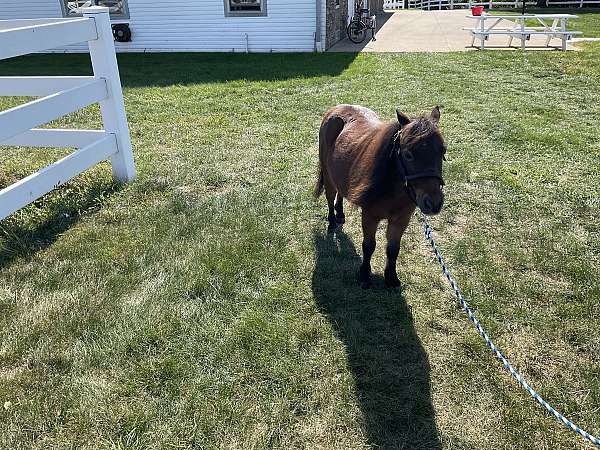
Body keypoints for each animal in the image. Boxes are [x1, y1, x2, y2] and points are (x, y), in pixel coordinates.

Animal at [314, 105, 446, 288]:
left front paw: (391, 277)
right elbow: (369, 246)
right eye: (408, 155)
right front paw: (364, 275)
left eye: (443, 151)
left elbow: (393, 249)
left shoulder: (401, 220)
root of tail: (336, 108)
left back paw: (340, 214)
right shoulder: (370, 216)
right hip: (327, 174)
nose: (433, 203)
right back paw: (333, 222)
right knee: (330, 196)